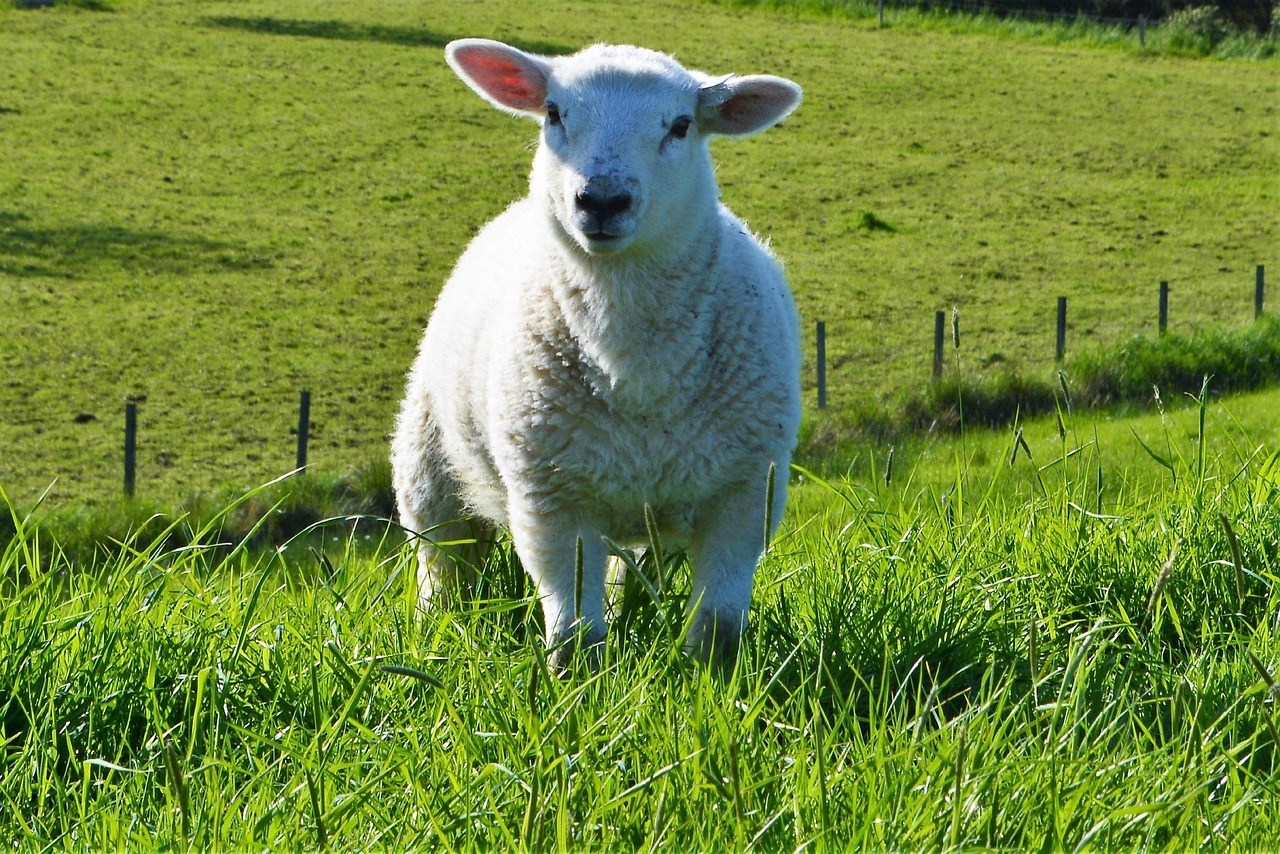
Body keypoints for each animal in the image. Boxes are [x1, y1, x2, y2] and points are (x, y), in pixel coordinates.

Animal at [391, 38, 802, 669]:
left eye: (681, 125)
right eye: (554, 113)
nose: (602, 200)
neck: (638, 374)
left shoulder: (745, 492)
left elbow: (718, 628)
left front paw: (714, 683)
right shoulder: (550, 500)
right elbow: (574, 632)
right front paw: (576, 685)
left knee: (628, 569)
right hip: (426, 457)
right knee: (441, 557)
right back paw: (435, 632)